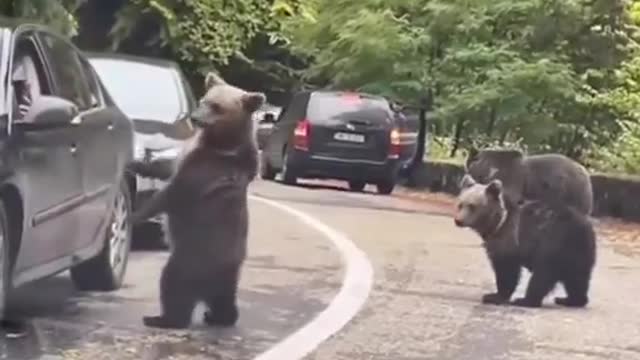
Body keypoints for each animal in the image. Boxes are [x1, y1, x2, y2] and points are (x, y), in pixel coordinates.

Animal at [131, 71, 264, 330]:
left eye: (217, 106)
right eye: (204, 99)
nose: (195, 117)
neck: (219, 143)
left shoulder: (205, 171)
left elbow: (171, 194)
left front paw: (135, 215)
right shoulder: (191, 155)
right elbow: (165, 169)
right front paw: (137, 163)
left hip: (194, 256)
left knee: (173, 284)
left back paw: (161, 318)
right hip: (227, 274)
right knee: (224, 300)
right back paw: (218, 316)